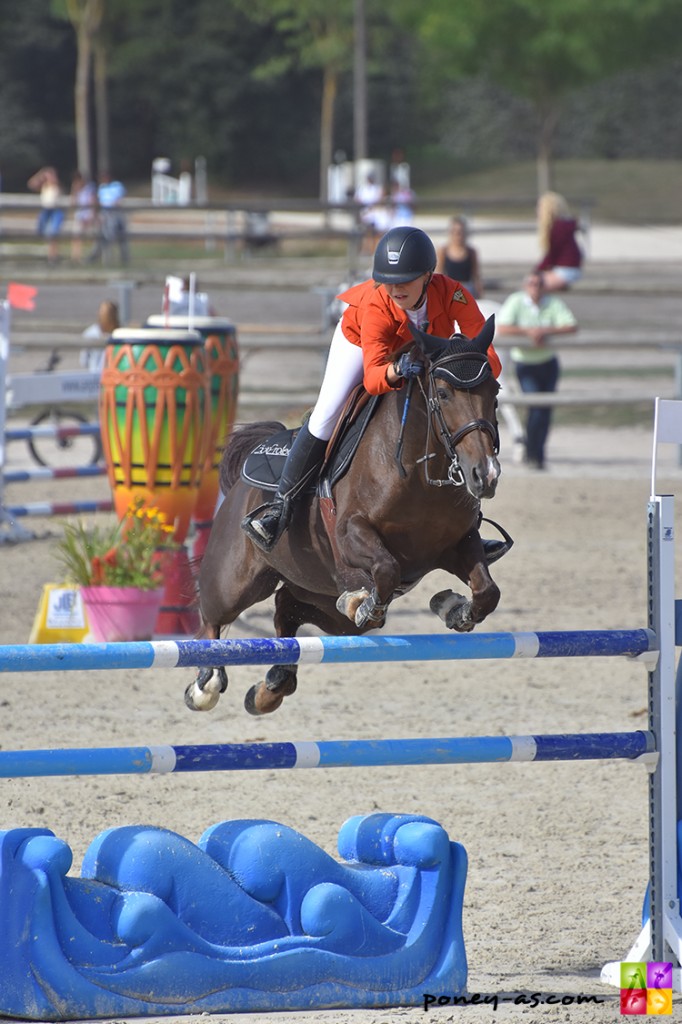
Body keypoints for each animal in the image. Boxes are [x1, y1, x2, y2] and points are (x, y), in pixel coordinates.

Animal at [184, 315, 503, 716]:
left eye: (495, 391)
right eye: (443, 394)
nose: (485, 475)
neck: (418, 472)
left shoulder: (459, 543)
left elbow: (487, 591)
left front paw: (452, 608)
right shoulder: (351, 533)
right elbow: (386, 567)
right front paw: (364, 603)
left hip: (320, 597)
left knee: (287, 607)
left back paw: (271, 687)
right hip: (236, 581)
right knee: (212, 617)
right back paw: (205, 685)